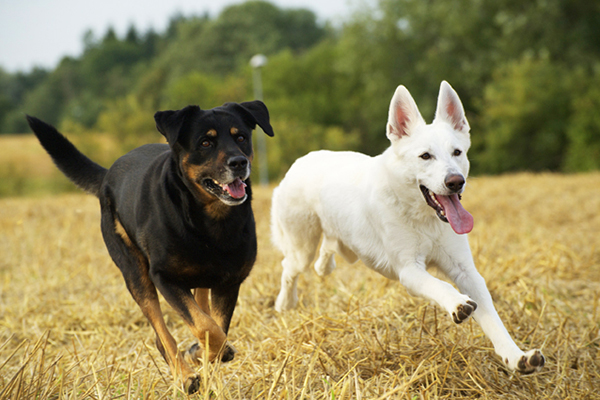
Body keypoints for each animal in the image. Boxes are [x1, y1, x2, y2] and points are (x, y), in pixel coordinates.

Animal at [25, 101, 274, 394]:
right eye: (205, 142)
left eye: (241, 137)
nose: (239, 162)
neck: (209, 219)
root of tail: (108, 173)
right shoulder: (164, 277)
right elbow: (206, 327)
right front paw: (208, 355)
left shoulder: (229, 282)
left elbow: (212, 326)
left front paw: (206, 354)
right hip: (135, 273)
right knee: (161, 332)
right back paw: (185, 376)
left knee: (197, 310)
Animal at [274, 82, 548, 376]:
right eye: (425, 156)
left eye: (457, 152)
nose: (455, 181)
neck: (425, 220)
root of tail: (301, 160)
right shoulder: (409, 270)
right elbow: (440, 285)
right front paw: (458, 304)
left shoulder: (467, 272)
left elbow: (494, 322)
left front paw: (517, 357)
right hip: (302, 248)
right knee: (288, 268)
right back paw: (284, 304)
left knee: (327, 252)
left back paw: (324, 266)